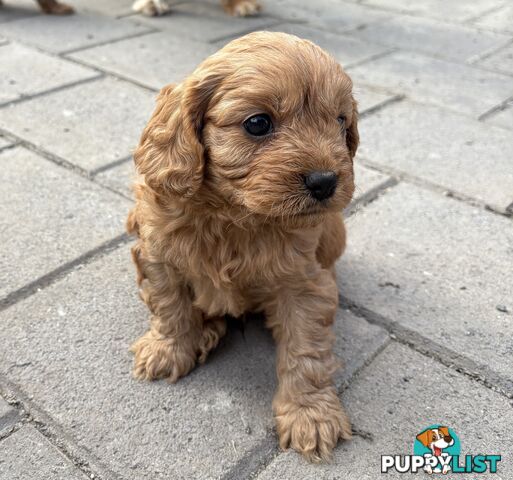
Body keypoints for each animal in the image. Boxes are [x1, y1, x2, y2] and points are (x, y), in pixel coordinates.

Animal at [126, 31, 358, 462]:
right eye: (257, 123)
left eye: (340, 121)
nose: (325, 181)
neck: (234, 216)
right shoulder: (156, 254)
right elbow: (169, 306)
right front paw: (168, 349)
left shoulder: (305, 284)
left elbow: (306, 351)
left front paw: (310, 415)